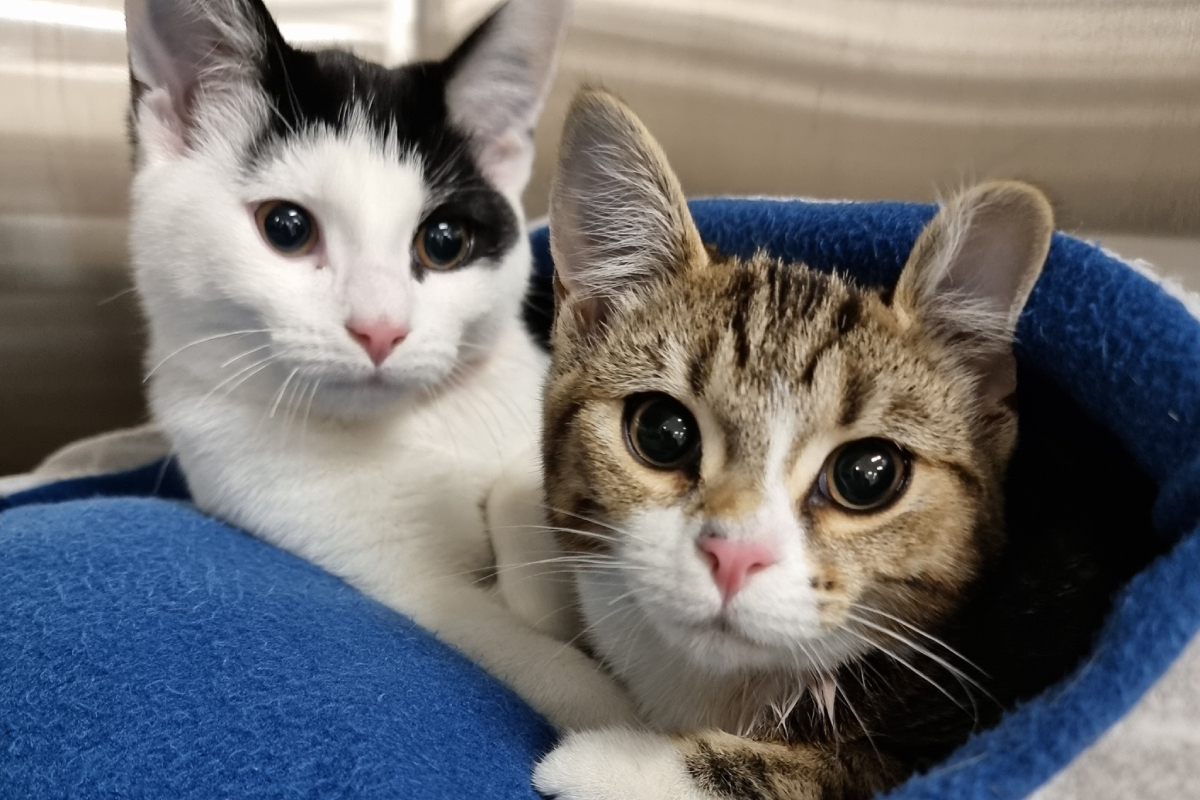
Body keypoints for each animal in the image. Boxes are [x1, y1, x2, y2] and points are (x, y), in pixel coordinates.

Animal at [124, 0, 638, 732]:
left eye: (445, 242)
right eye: (286, 227)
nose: (380, 328)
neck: (413, 423)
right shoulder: (384, 570)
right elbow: (519, 645)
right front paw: (616, 715)